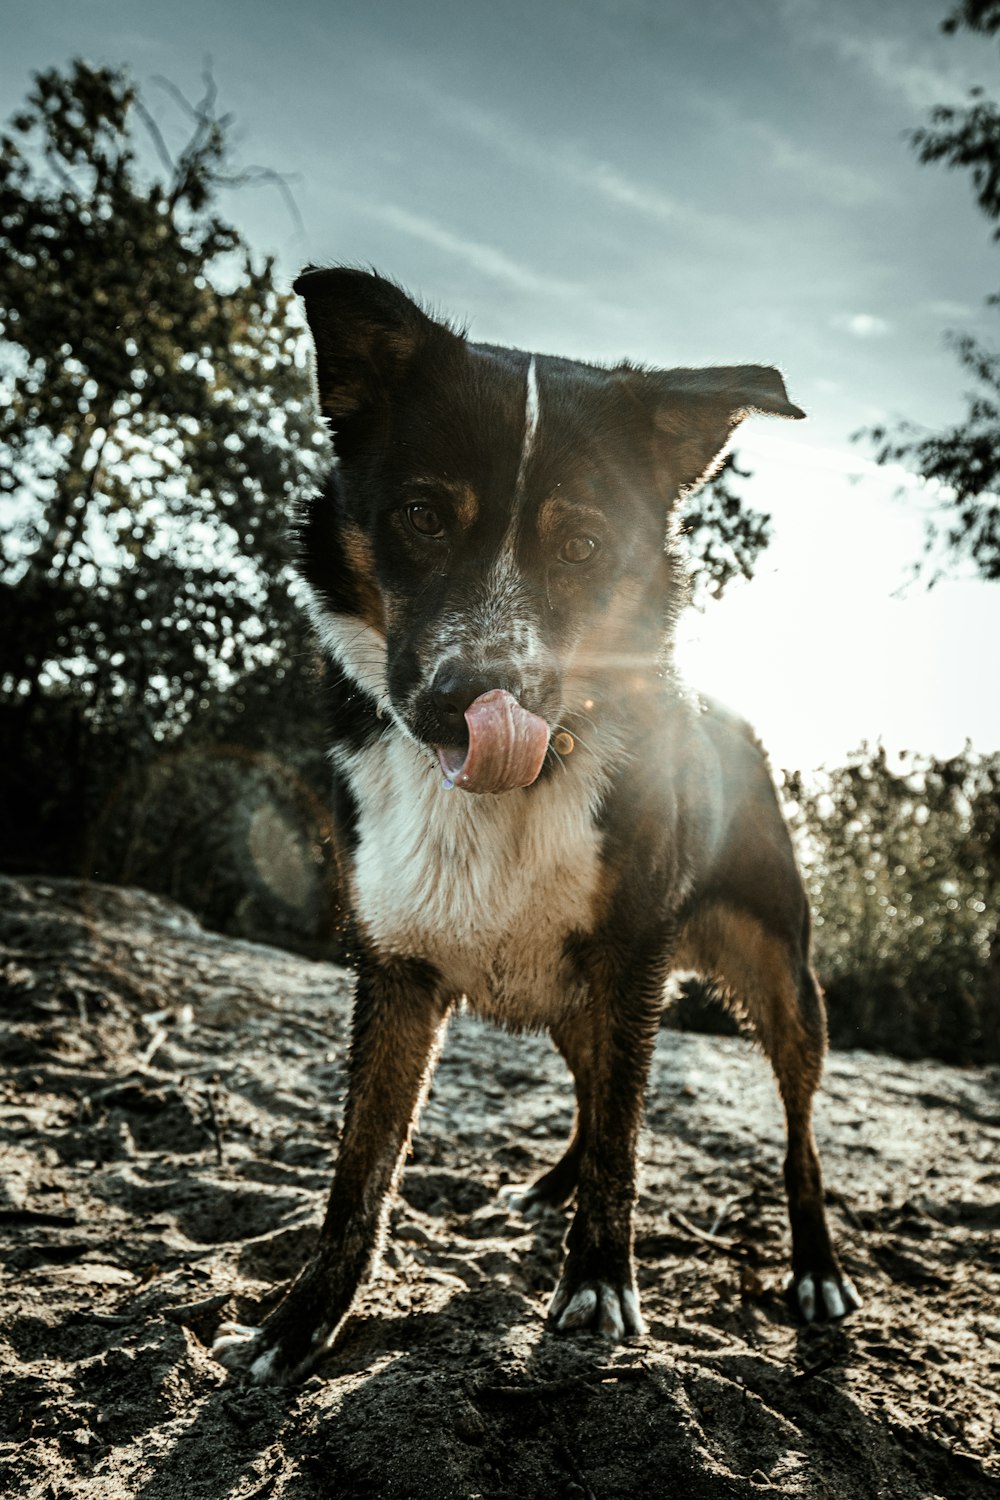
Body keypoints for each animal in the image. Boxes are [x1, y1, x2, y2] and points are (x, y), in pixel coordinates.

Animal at [211, 267, 863, 1380]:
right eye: (422, 516)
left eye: (585, 545)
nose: (472, 701)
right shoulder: (395, 966)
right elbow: (360, 1170)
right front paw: (305, 1318)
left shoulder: (627, 955)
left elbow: (622, 1144)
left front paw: (598, 1282)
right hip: (576, 994)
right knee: (597, 1083)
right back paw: (552, 1182)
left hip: (780, 978)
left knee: (793, 1133)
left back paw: (813, 1267)